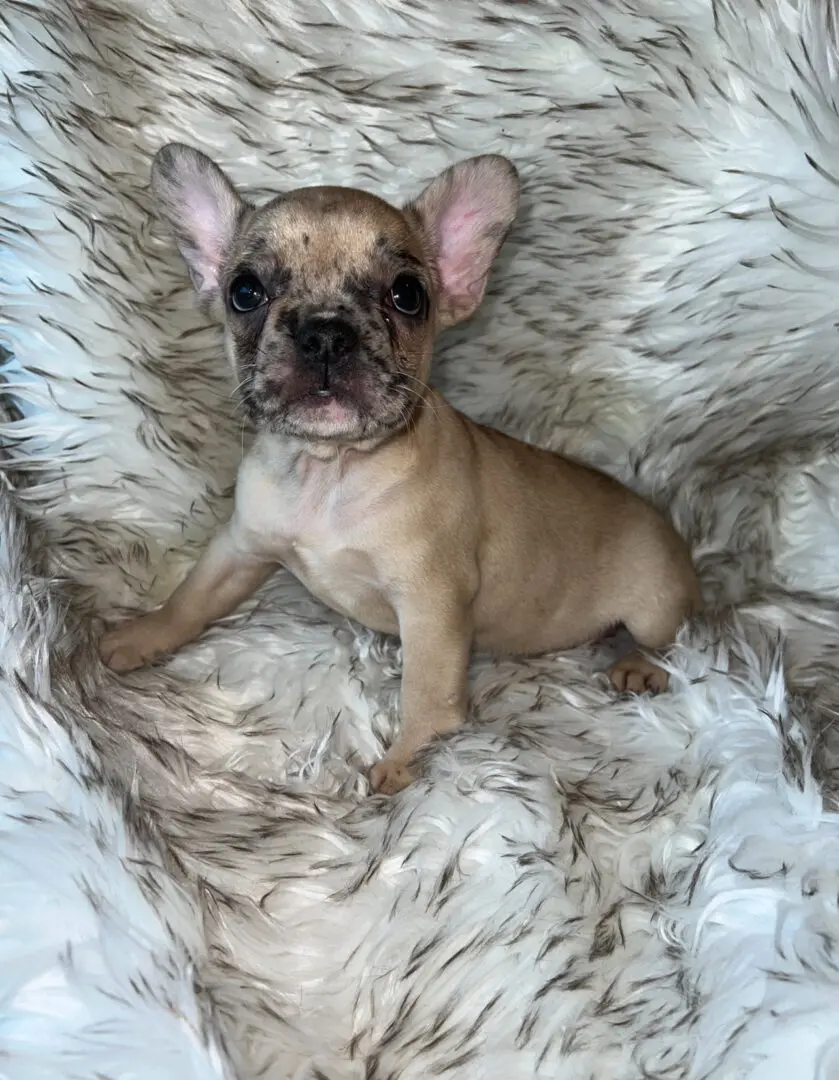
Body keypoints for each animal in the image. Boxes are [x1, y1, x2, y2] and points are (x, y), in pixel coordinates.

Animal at [99, 143, 699, 794]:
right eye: (245, 291)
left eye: (407, 295)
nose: (325, 332)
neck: (329, 471)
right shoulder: (240, 547)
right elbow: (192, 597)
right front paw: (143, 634)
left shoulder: (431, 603)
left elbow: (428, 691)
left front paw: (411, 763)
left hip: (653, 602)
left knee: (670, 642)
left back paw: (638, 666)